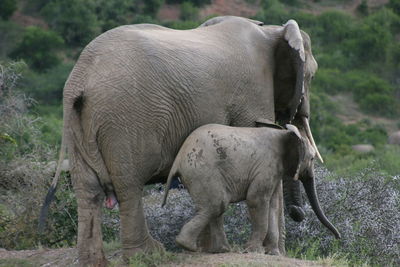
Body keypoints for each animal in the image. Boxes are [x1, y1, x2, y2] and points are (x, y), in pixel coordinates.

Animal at [40, 16, 322, 266]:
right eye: (311, 76)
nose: (299, 214)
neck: (270, 30)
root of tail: (81, 78)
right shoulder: (253, 89)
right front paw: (273, 253)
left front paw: (214, 251)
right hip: (125, 118)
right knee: (129, 184)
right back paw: (148, 255)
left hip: (76, 122)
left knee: (88, 189)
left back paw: (93, 261)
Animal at [162, 123, 340, 255]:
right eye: (312, 158)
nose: (338, 237)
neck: (286, 133)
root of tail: (177, 161)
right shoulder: (267, 165)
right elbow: (257, 200)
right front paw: (254, 251)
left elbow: (273, 205)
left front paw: (272, 253)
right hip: (201, 169)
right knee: (217, 204)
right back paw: (188, 246)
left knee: (216, 207)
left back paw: (221, 250)